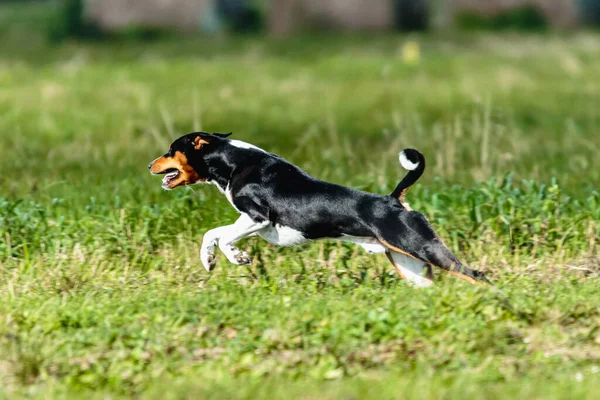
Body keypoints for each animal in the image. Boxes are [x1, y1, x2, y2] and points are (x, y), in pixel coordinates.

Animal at [148, 132, 490, 288]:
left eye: (171, 149)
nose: (150, 164)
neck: (235, 163)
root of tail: (394, 200)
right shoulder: (253, 223)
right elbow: (217, 235)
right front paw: (214, 260)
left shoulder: (258, 218)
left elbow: (222, 236)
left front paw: (232, 258)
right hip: (409, 264)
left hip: (421, 247)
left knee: (477, 275)